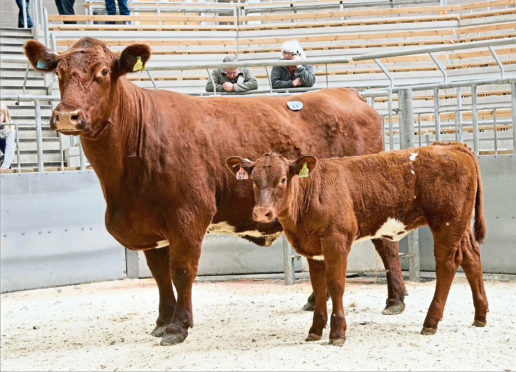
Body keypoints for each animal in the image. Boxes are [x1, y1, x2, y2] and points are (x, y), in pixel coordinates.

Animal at [26, 37, 408, 346]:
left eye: (104, 71)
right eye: (59, 72)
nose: (67, 115)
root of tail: (347, 92)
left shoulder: (188, 214)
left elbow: (181, 270)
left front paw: (178, 327)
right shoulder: (149, 225)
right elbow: (160, 275)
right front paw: (162, 321)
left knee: (386, 244)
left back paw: (395, 301)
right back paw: (318, 300)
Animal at [226, 141, 488, 344]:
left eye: (282, 179)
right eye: (253, 181)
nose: (262, 213)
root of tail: (450, 146)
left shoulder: (337, 241)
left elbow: (336, 285)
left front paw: (337, 333)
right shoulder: (313, 249)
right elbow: (318, 287)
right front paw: (315, 330)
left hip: (447, 222)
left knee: (447, 263)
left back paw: (431, 322)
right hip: (461, 224)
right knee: (471, 256)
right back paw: (480, 315)